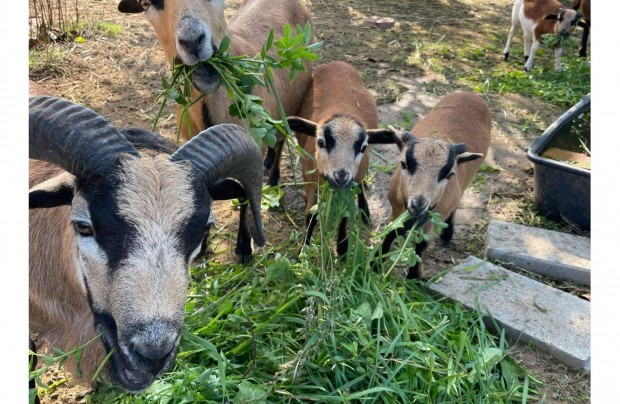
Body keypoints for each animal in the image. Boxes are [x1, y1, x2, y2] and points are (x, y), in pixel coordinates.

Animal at [286, 60, 392, 256]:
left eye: (362, 147)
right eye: (320, 142)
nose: (341, 176)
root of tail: (338, 62)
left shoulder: (349, 184)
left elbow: (344, 216)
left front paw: (342, 248)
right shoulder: (310, 180)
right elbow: (310, 214)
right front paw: (302, 249)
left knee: (361, 186)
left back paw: (365, 211)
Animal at [370, 92, 492, 280]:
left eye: (449, 174)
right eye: (403, 164)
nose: (418, 205)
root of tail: (471, 94)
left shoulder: (435, 218)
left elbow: (422, 245)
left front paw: (413, 276)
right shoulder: (396, 208)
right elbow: (391, 232)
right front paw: (375, 263)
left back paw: (447, 234)